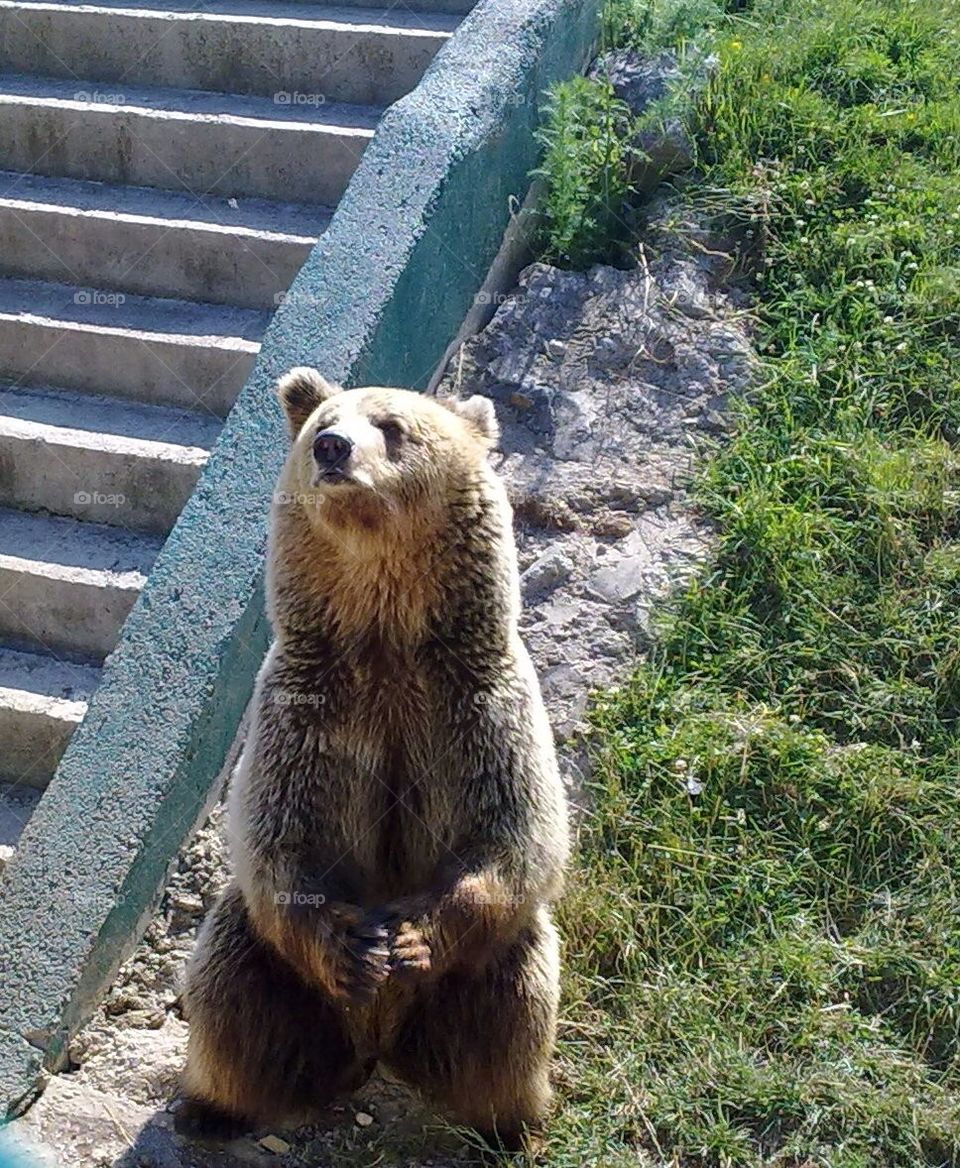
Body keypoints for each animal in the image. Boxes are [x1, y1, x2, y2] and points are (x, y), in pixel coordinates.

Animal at [175, 367, 570, 1151]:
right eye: (322, 422)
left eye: (391, 425)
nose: (332, 448)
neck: (386, 636)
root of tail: (378, 1047)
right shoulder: (304, 708)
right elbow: (278, 838)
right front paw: (355, 947)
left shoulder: (478, 703)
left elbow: (517, 833)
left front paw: (412, 940)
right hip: (270, 970)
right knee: (230, 987)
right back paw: (211, 1107)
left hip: (488, 977)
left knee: (515, 1006)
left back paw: (508, 1124)